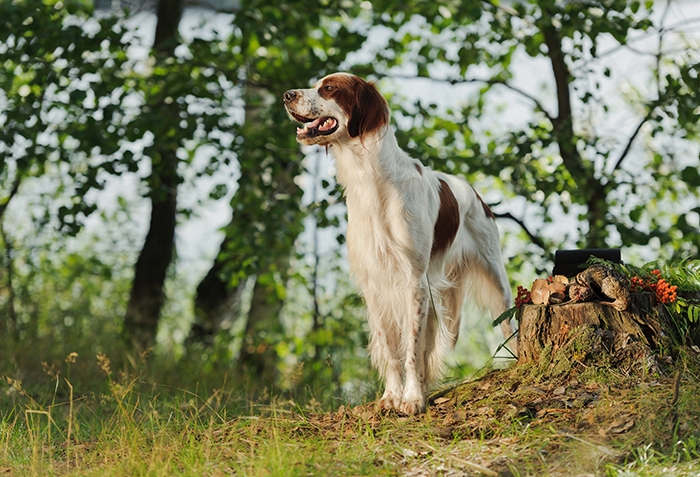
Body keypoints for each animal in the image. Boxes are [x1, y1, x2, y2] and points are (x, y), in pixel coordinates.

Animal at [284, 71, 516, 412]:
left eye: (329, 88)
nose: (287, 95)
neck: (370, 179)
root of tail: (472, 191)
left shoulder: (413, 280)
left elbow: (412, 348)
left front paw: (413, 398)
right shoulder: (374, 283)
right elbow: (392, 347)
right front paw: (392, 396)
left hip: (496, 276)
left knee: (509, 323)